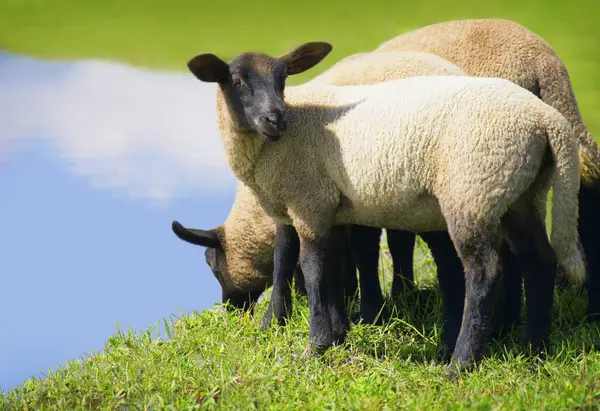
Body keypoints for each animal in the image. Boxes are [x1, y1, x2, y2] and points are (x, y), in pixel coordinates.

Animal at [185, 42, 584, 380]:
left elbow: (311, 269)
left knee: (485, 273)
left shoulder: (308, 202)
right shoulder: (332, 208)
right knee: (538, 261)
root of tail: (547, 121)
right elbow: (333, 269)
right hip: (517, 194)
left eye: (282, 80)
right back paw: (534, 350)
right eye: (236, 81)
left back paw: (460, 365)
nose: (275, 118)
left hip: (473, 189)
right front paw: (339, 334)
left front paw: (315, 346)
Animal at [376, 18, 600, 322]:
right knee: (589, 184)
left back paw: (508, 320)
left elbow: (399, 237)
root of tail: (544, 63)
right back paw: (592, 313)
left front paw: (402, 294)